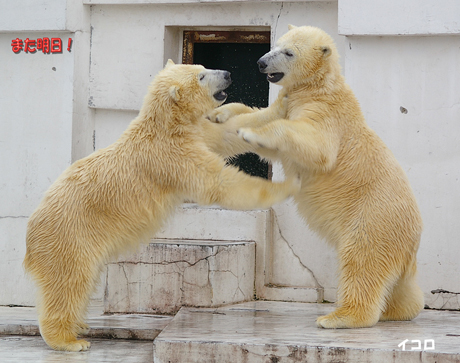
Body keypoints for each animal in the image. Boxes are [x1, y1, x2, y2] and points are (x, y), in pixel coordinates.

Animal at [24, 60, 302, 352]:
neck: (165, 124)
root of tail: (31, 233)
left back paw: (79, 326)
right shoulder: (172, 156)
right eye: (201, 76)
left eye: (203, 67)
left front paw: (279, 104)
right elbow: (220, 182)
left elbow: (227, 134)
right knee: (69, 283)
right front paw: (289, 185)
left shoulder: (194, 134)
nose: (227, 74)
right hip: (69, 238)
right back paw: (70, 341)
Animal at [205, 25, 424, 330]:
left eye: (288, 52)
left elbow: (315, 146)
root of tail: (414, 236)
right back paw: (398, 310)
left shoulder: (325, 113)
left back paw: (338, 317)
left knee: (361, 263)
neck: (318, 87)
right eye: (277, 45)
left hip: (371, 219)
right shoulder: (292, 101)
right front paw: (219, 114)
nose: (261, 63)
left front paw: (251, 134)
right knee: (398, 282)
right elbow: (260, 114)